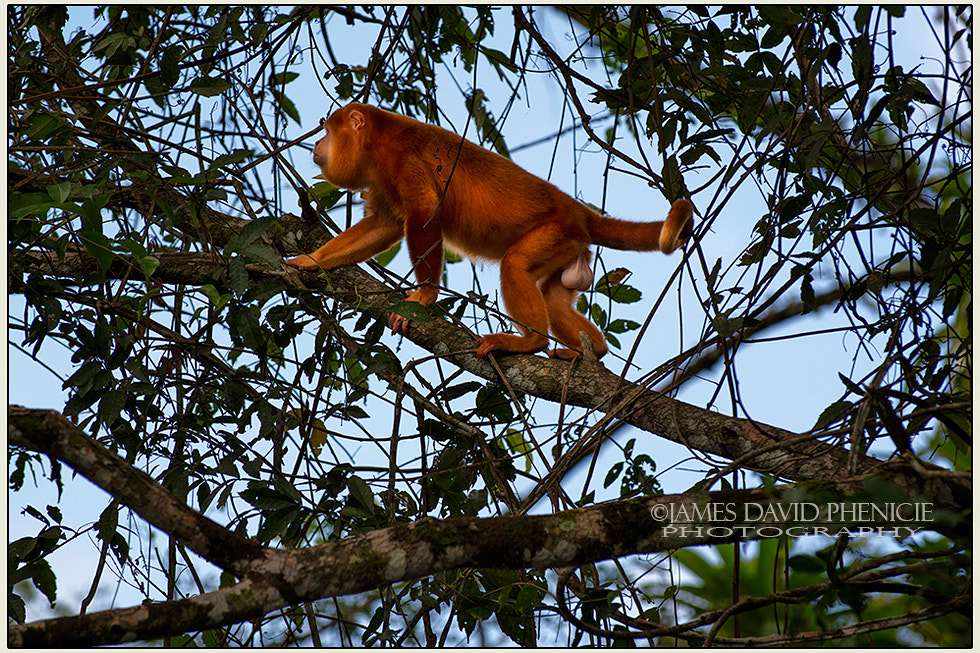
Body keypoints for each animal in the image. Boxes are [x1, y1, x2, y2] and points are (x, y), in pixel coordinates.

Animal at [284, 103, 694, 361]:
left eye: (327, 132)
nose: (316, 143)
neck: (377, 140)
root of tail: (577, 211)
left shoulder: (400, 158)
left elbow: (425, 215)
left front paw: (425, 296)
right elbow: (383, 227)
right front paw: (310, 261)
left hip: (556, 231)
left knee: (514, 266)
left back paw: (529, 343)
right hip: (571, 246)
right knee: (554, 298)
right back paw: (590, 349)